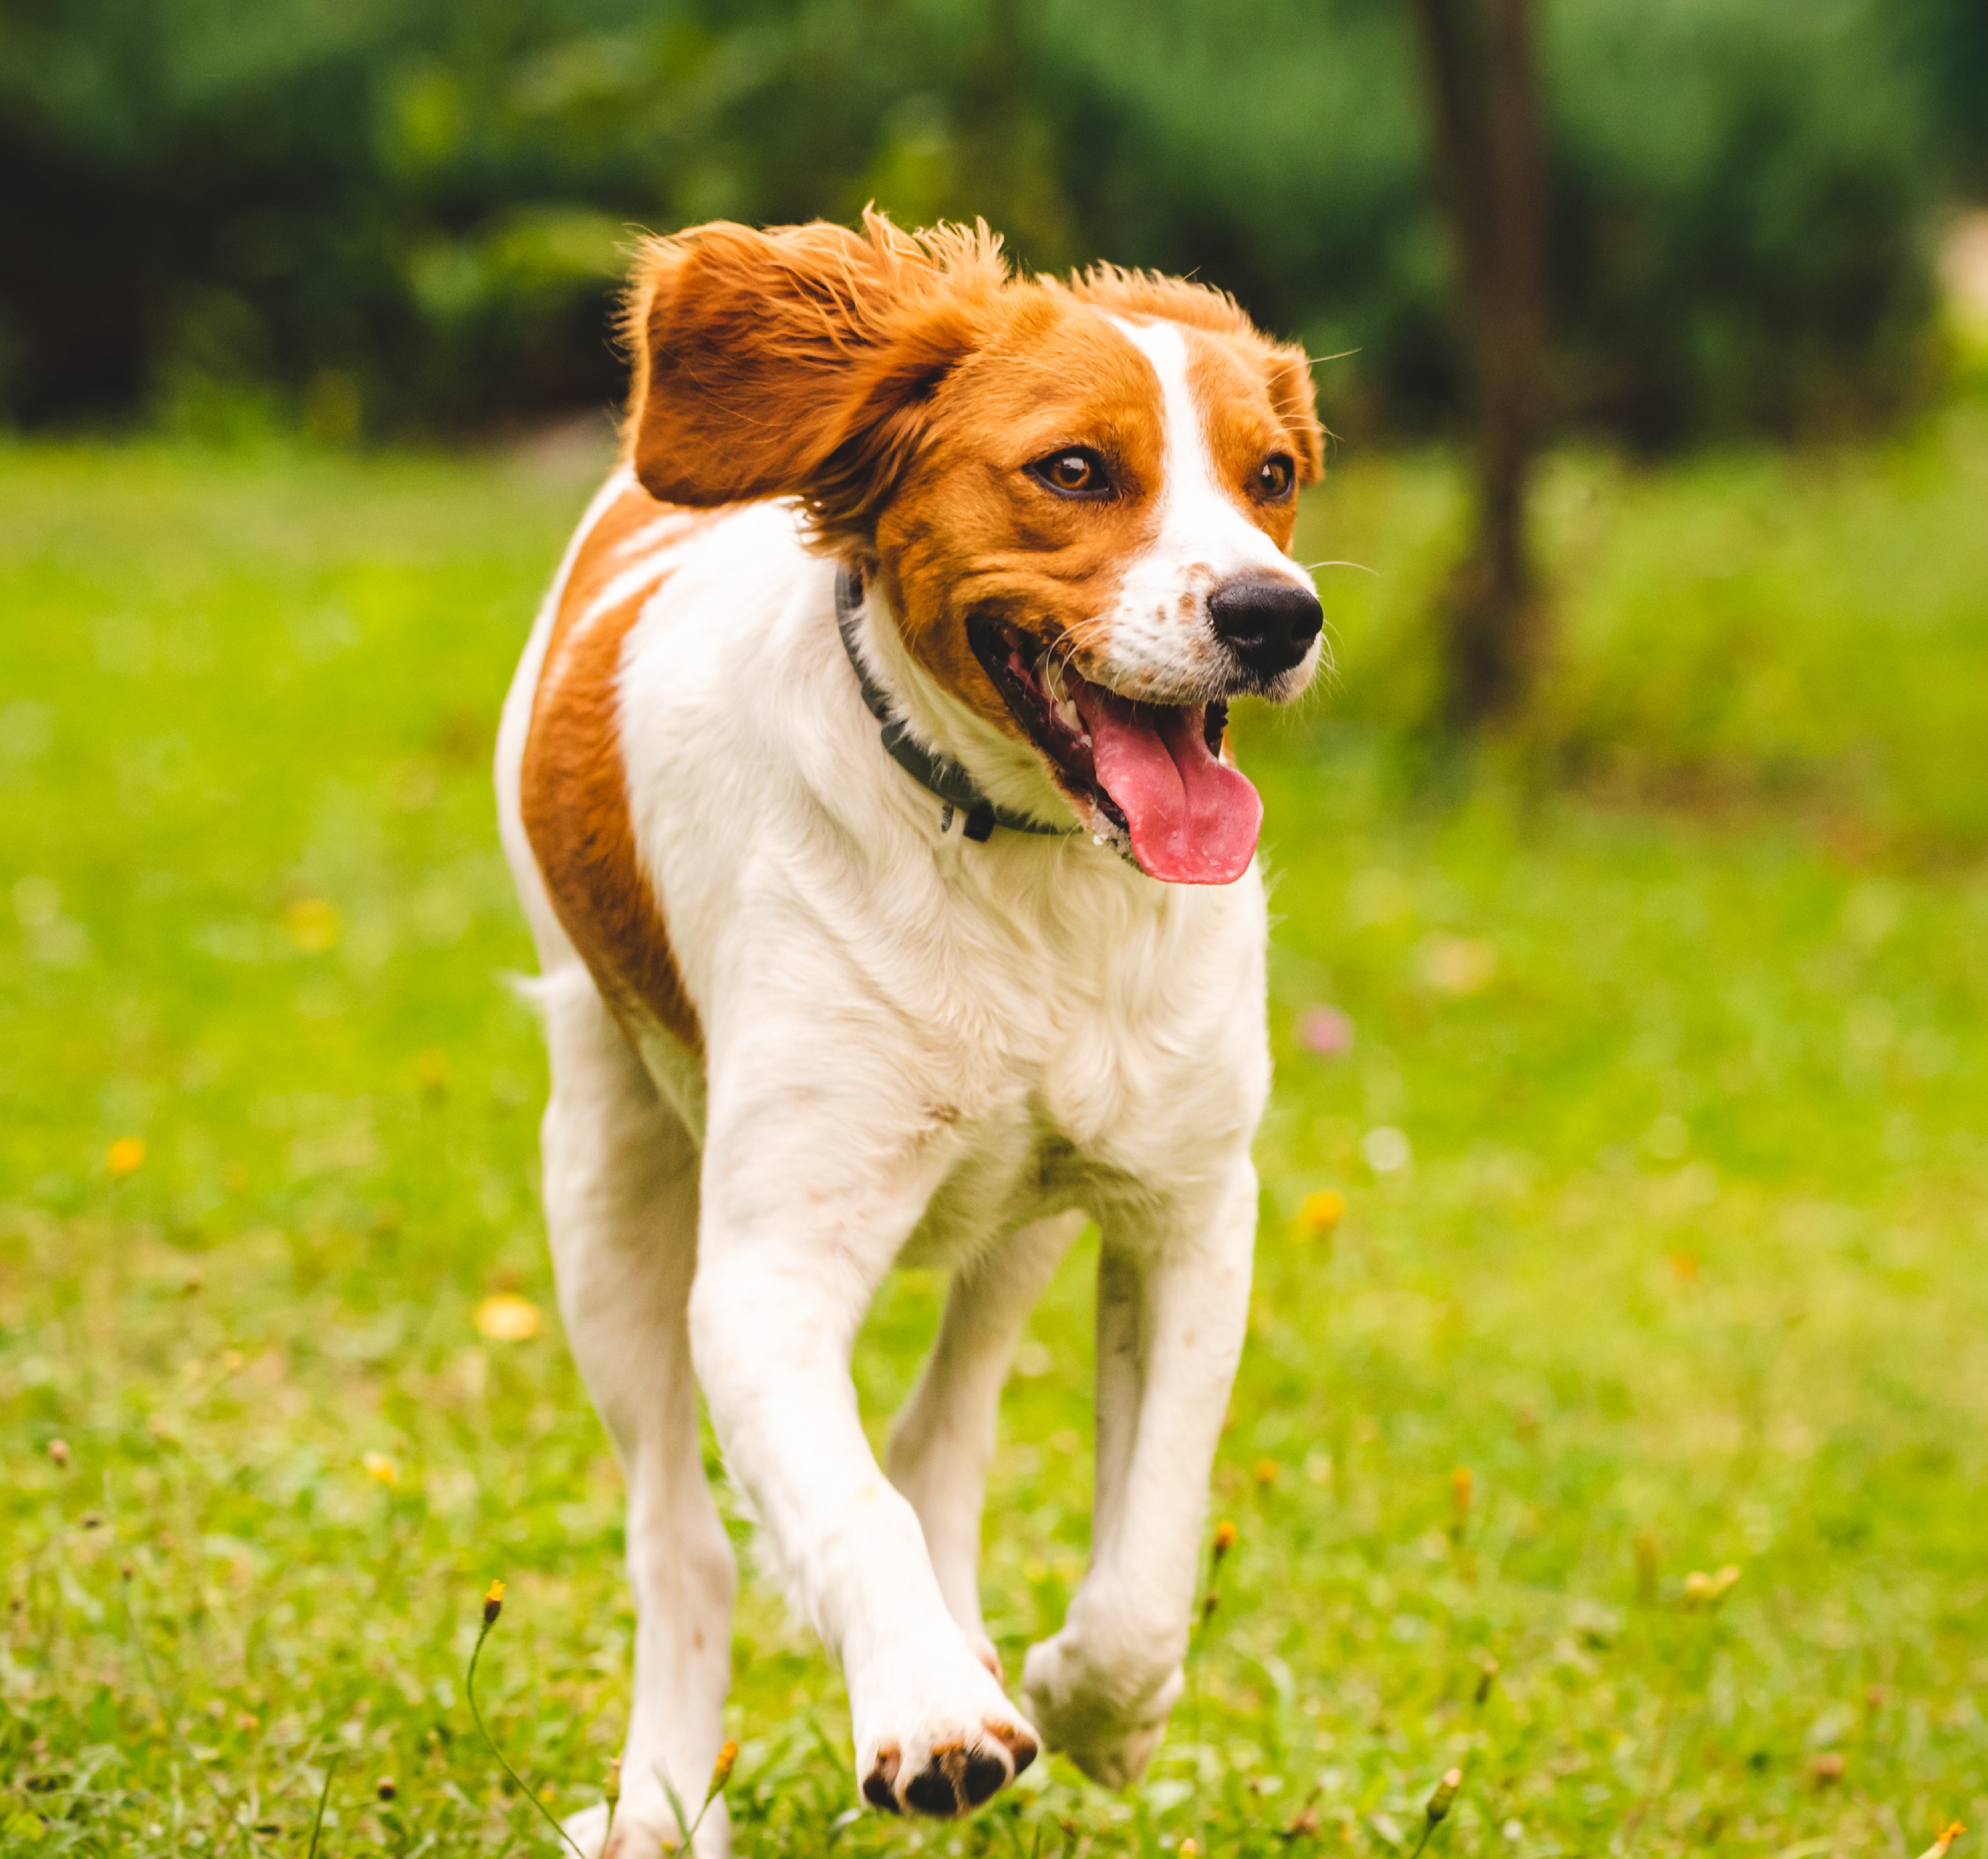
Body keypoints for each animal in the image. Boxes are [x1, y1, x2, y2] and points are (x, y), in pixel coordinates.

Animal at [494, 210, 1324, 1853]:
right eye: (1075, 469)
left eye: (1271, 475)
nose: (1276, 614)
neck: (1024, 868)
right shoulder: (764, 1271)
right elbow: (840, 1502)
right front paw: (934, 1715)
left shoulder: (1189, 1207)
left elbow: (1148, 1548)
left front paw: (1095, 1705)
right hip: (604, 1173)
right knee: (683, 1533)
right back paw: (665, 1798)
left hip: (1022, 1217)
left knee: (946, 1429)